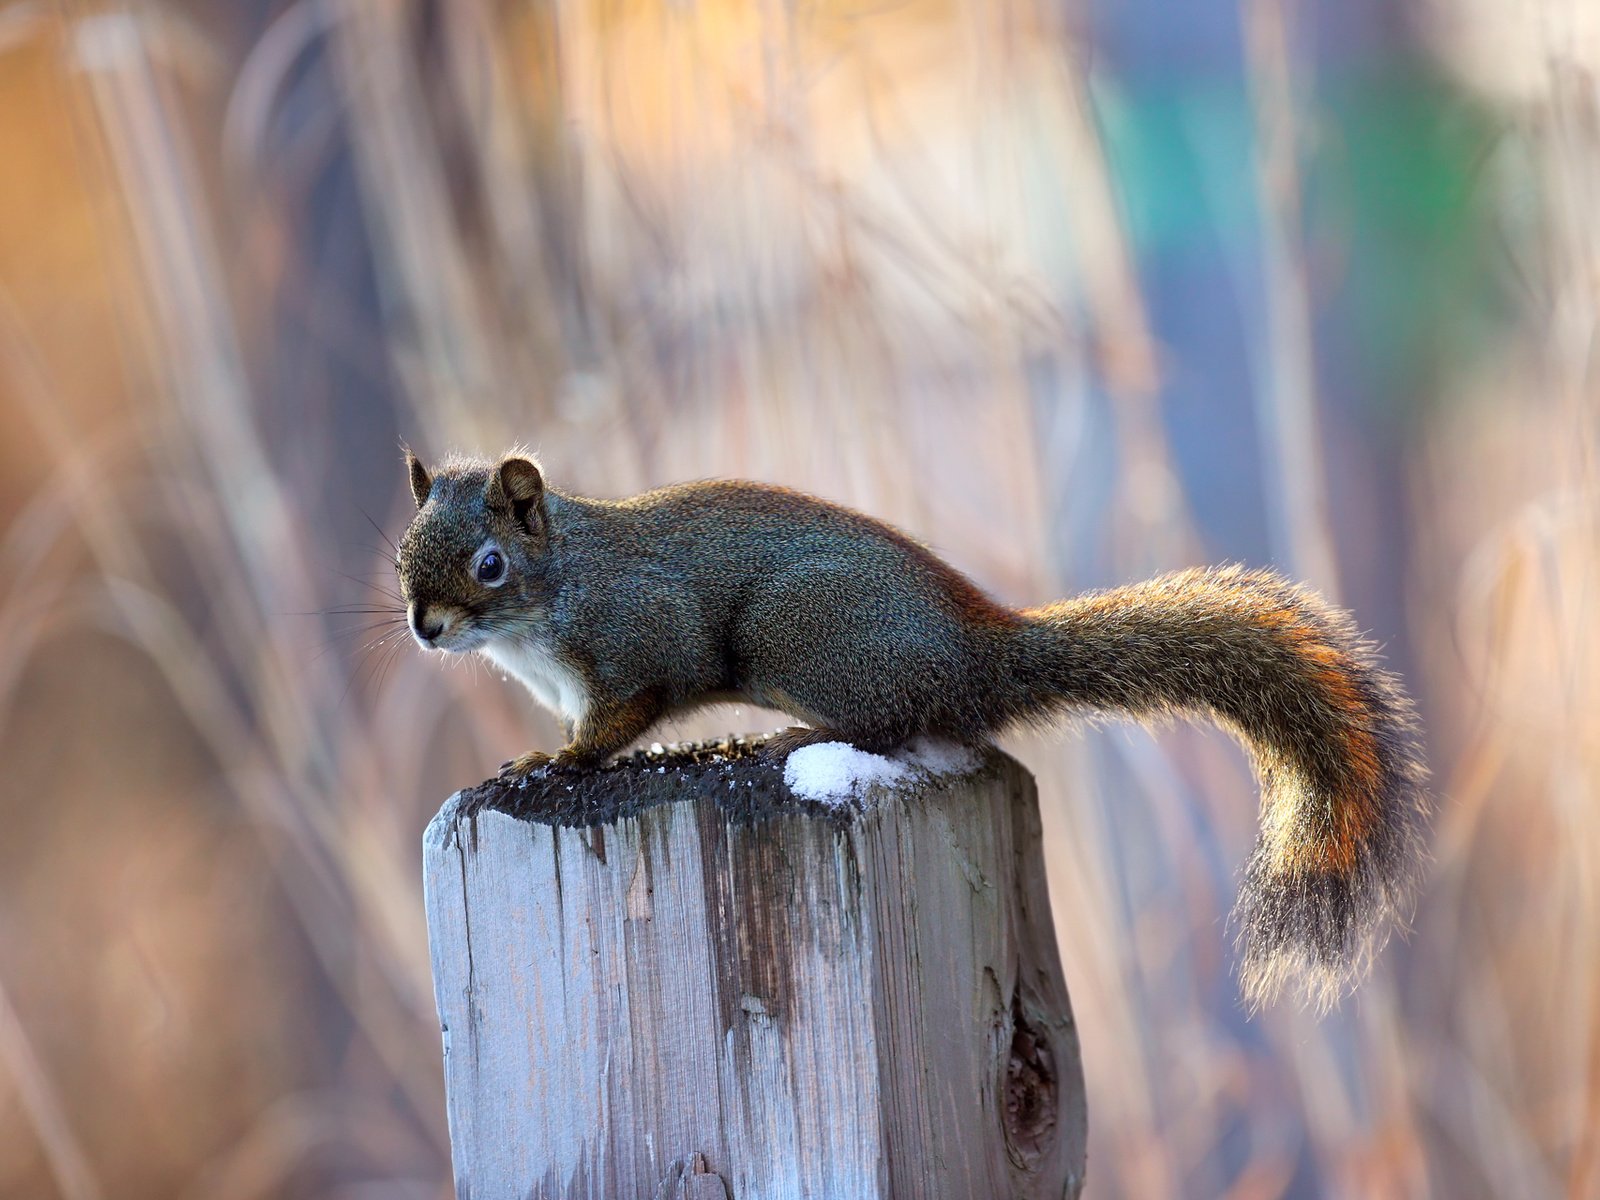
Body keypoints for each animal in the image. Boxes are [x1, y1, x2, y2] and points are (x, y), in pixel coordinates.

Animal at [396, 448, 1427, 1004]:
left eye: (489, 564)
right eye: (403, 554)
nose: (424, 627)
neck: (554, 592)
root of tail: (978, 651)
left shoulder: (640, 642)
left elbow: (622, 719)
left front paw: (551, 762)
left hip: (799, 636)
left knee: (893, 724)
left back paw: (793, 742)